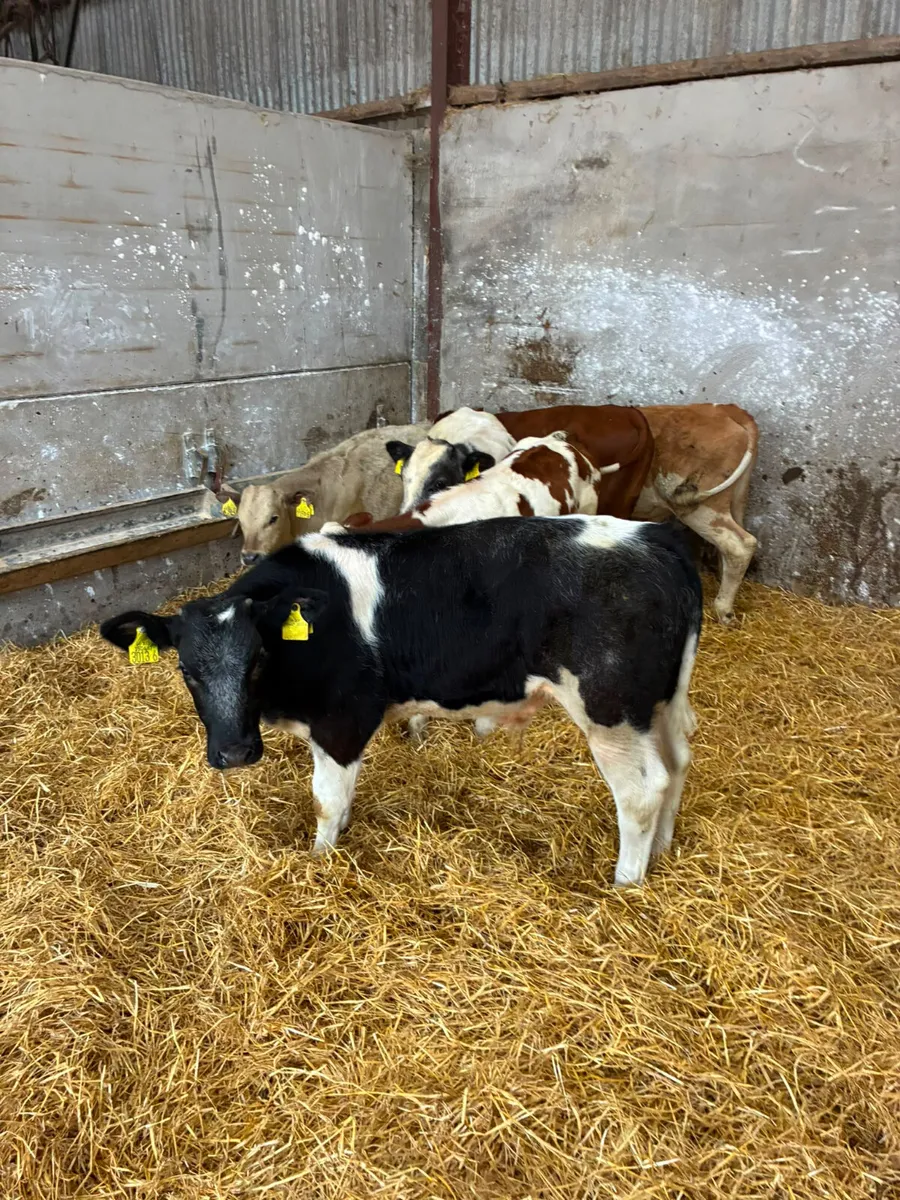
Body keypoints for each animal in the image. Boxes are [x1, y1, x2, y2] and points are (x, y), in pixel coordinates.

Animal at [100, 515, 703, 887]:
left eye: (258, 659)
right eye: (186, 670)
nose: (234, 753)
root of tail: (654, 538)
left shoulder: (343, 718)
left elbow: (327, 798)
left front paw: (321, 858)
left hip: (610, 708)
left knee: (642, 790)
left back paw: (625, 882)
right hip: (662, 703)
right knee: (678, 763)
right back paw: (663, 849)